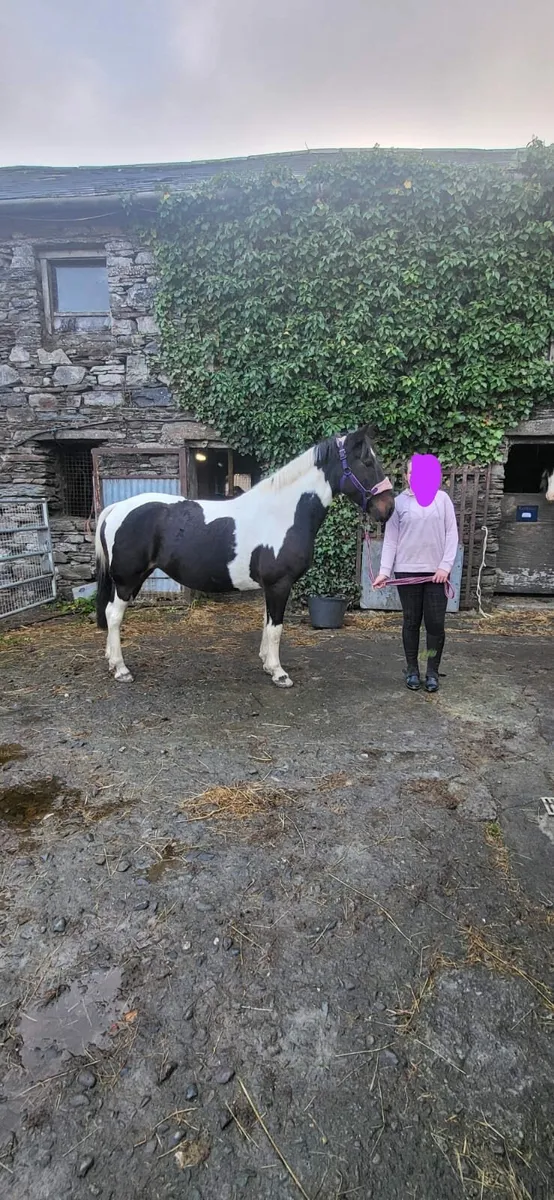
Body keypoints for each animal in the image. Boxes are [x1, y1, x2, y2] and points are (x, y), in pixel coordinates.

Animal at [95, 425, 394, 688]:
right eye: (367, 461)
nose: (388, 508)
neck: (283, 513)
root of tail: (116, 508)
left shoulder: (270, 586)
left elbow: (267, 623)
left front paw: (267, 664)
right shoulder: (279, 584)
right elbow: (276, 627)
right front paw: (279, 674)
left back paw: (111, 662)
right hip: (128, 580)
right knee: (113, 616)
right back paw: (121, 670)